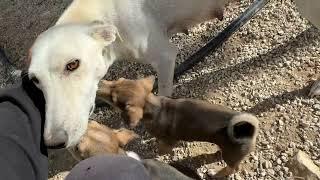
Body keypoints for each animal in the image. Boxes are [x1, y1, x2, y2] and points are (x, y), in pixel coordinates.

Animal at [97, 76, 260, 176]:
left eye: (113, 99)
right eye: (117, 80)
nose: (98, 83)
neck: (154, 107)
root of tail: (249, 130)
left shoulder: (168, 142)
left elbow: (162, 149)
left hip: (231, 158)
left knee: (233, 168)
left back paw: (216, 173)